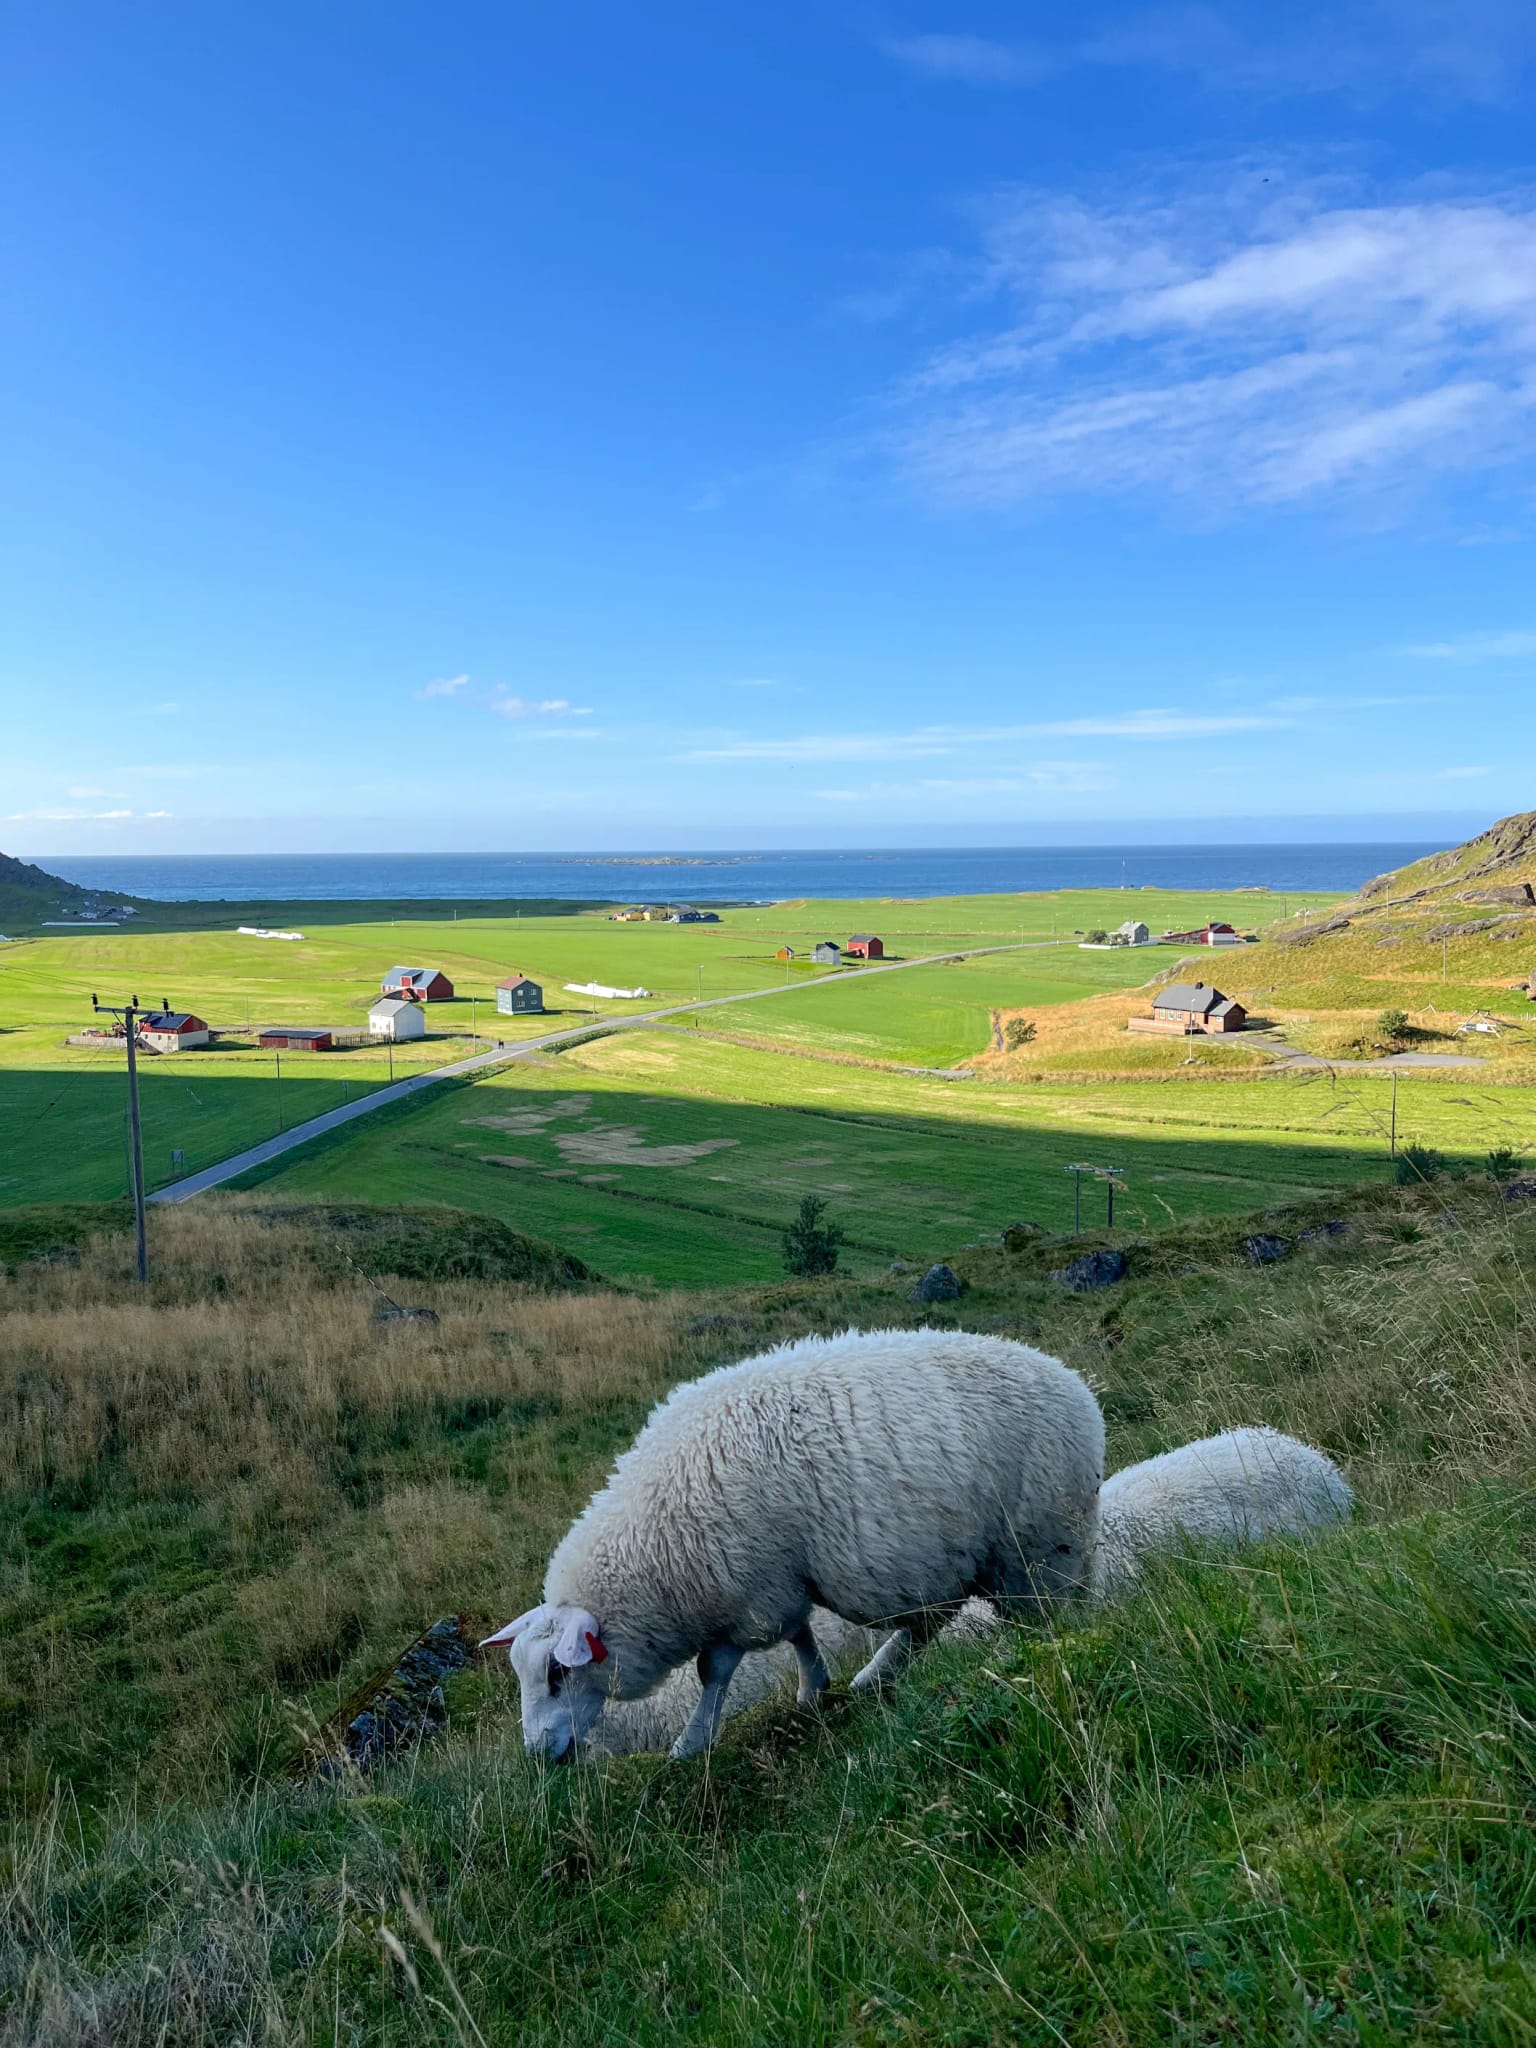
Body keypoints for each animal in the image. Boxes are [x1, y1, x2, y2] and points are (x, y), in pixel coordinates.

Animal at [482, 1327, 1104, 1760]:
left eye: (557, 1674)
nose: (538, 1755)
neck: (656, 1545)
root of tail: (1079, 1388)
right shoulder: (778, 1582)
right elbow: (800, 1633)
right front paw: (814, 1688)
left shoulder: (752, 1592)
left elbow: (716, 1670)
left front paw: (692, 1741)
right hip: (965, 1556)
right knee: (932, 1620)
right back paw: (877, 1675)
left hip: (1041, 1545)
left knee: (1046, 1617)